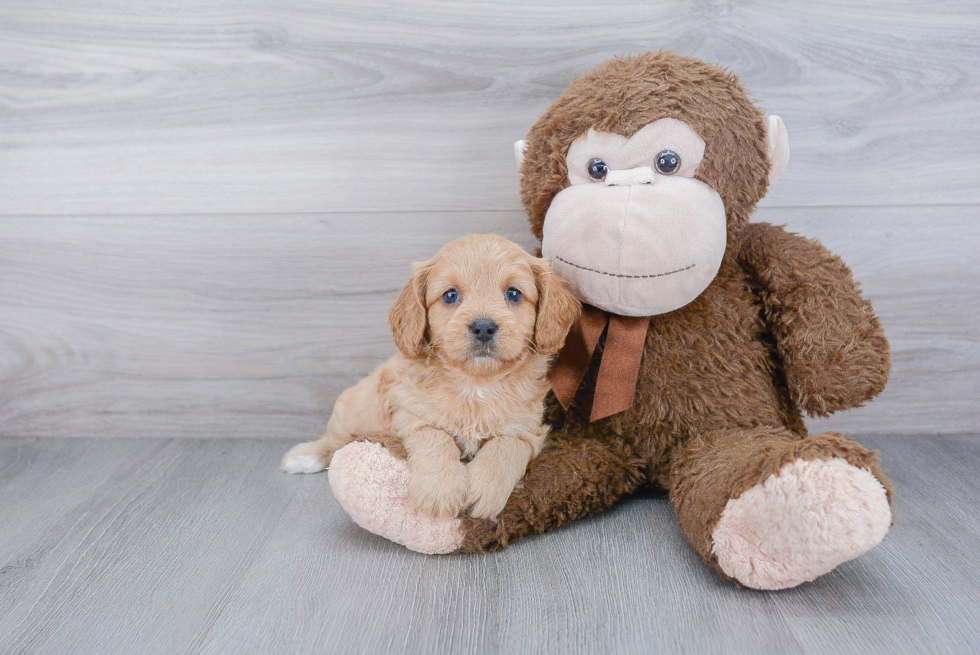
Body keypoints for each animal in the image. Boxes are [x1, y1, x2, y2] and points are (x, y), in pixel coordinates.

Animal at [280, 233, 580, 520]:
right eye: (450, 295)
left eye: (514, 293)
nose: (483, 327)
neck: (475, 385)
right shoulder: (412, 416)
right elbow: (436, 438)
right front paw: (440, 493)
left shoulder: (526, 429)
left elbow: (505, 446)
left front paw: (484, 490)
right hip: (354, 410)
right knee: (334, 439)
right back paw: (305, 456)